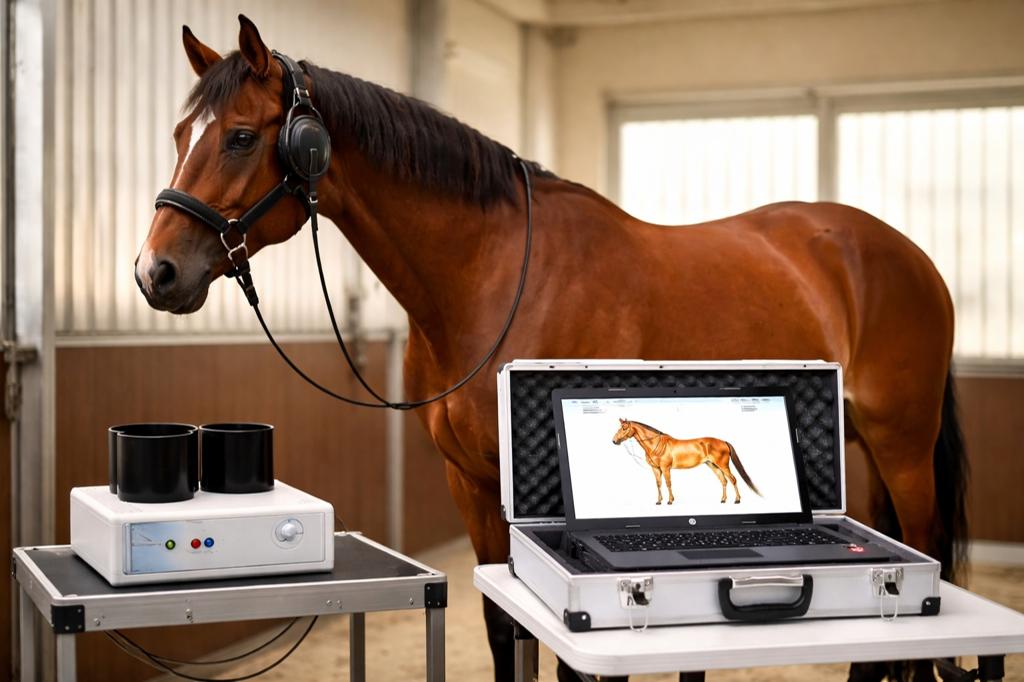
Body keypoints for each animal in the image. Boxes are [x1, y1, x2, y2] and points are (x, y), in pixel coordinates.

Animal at [612, 418, 760, 505]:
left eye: (624, 428)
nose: (614, 441)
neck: (656, 445)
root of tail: (723, 441)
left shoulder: (665, 468)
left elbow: (668, 483)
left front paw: (670, 501)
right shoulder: (655, 469)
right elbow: (658, 484)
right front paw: (659, 501)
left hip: (723, 465)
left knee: (733, 480)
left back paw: (737, 500)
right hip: (713, 465)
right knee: (723, 481)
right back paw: (723, 500)